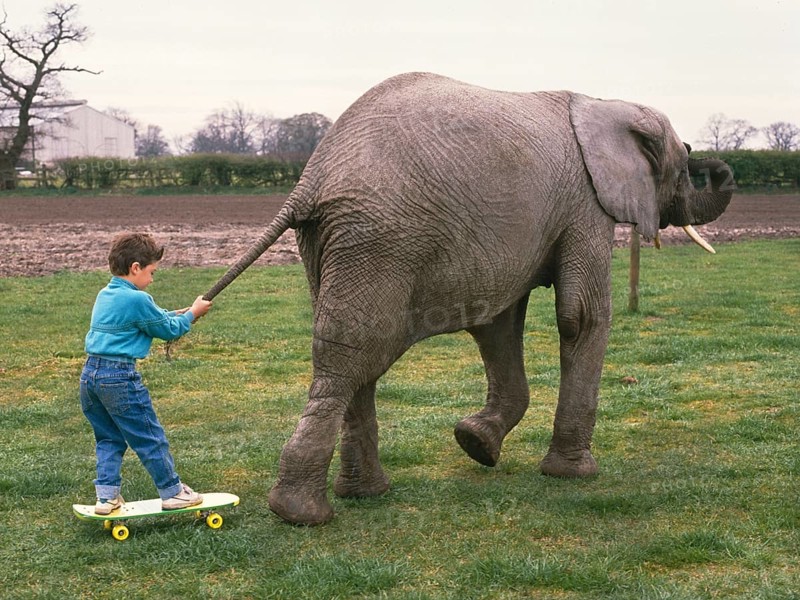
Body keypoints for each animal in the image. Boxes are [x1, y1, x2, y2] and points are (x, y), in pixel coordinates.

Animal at [203, 72, 734, 525]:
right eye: (683, 168)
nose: (709, 160)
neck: (602, 103)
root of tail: (310, 181)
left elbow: (497, 324)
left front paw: (476, 444)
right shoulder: (586, 203)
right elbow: (579, 316)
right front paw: (572, 474)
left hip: (331, 244)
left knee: (352, 355)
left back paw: (360, 495)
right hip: (381, 241)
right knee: (353, 354)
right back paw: (302, 513)